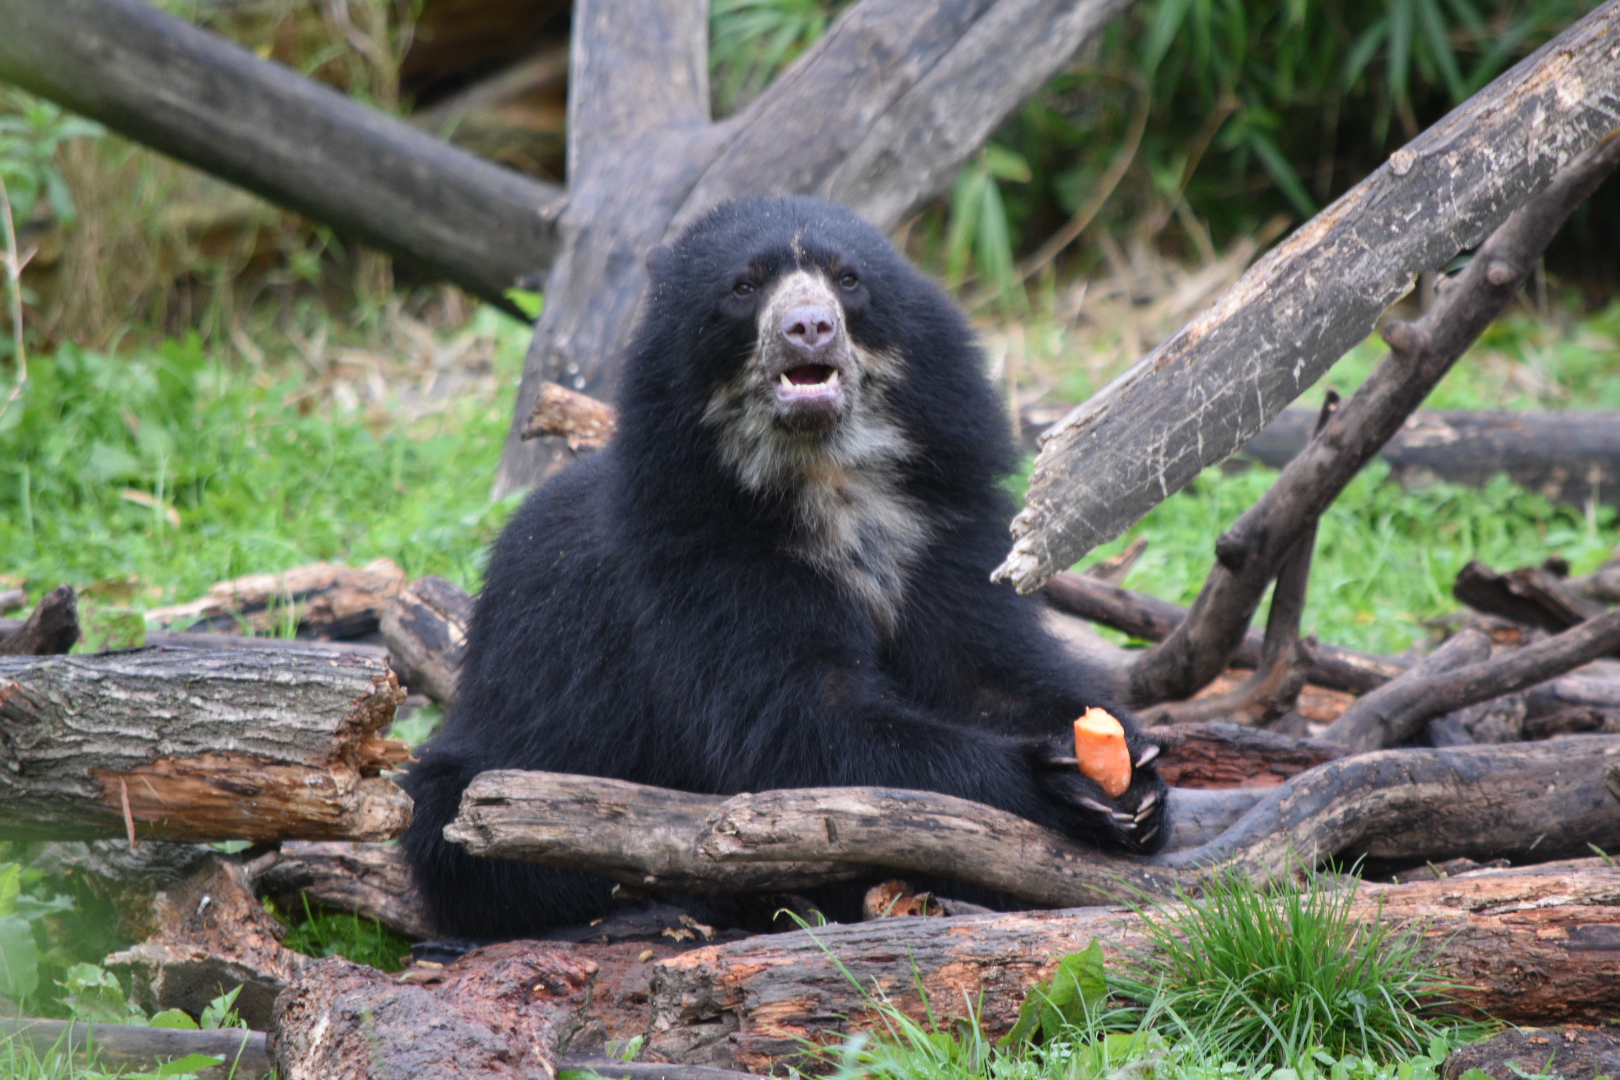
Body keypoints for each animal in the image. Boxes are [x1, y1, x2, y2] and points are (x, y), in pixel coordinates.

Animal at [401, 196, 1168, 942]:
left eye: (848, 279)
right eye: (743, 287)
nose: (809, 328)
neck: (824, 477)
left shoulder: (941, 534)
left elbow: (984, 669)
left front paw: (1132, 770)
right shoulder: (706, 561)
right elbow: (798, 734)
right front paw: (1054, 781)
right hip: (498, 761)